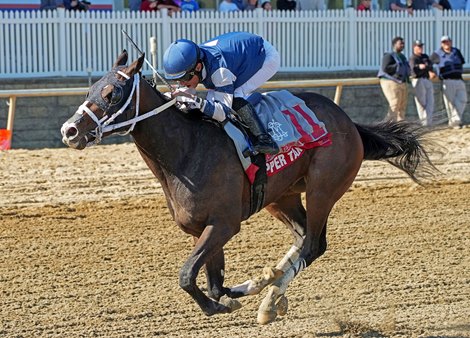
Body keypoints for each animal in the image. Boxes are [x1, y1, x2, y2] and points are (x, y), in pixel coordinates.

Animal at [60, 50, 436, 324]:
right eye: (90, 90)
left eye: (112, 93)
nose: (69, 131)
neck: (185, 151)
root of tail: (350, 123)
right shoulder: (202, 228)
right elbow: (212, 281)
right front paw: (236, 292)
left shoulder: (225, 224)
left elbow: (188, 276)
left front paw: (220, 306)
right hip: (281, 197)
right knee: (301, 238)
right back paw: (268, 289)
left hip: (323, 189)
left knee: (313, 245)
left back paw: (269, 295)